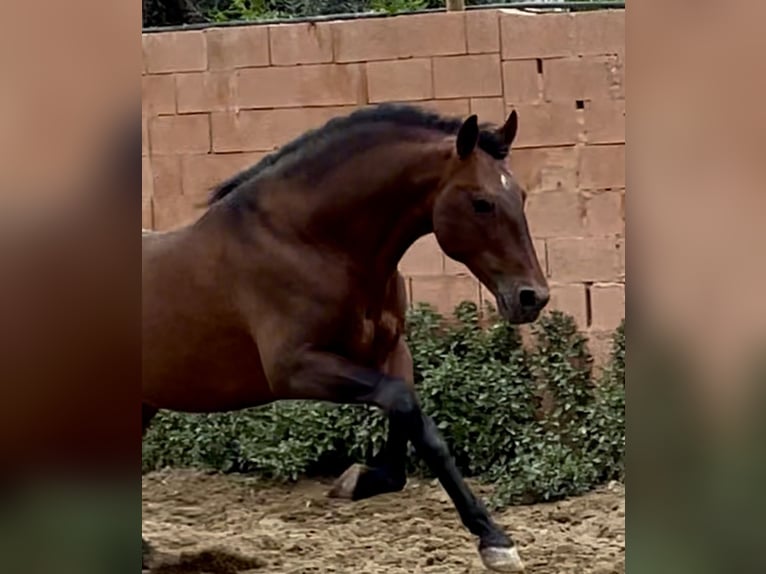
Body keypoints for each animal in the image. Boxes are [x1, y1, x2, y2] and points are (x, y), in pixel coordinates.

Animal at [142, 103, 549, 573]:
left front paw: (361, 481)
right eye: (482, 202)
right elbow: (407, 409)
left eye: (521, 197)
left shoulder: (392, 352)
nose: (532, 298)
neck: (310, 241)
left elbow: (412, 422)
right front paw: (495, 541)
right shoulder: (296, 368)